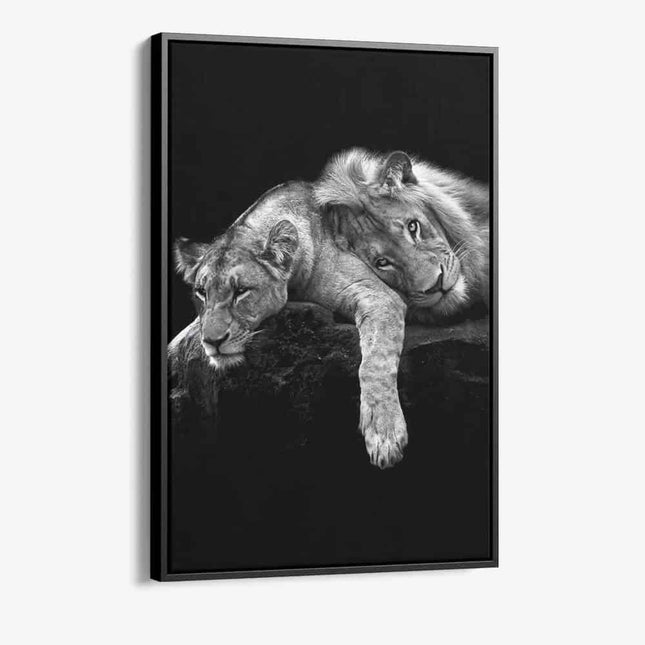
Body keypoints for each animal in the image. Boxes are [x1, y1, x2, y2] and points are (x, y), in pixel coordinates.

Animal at [171, 182, 408, 469]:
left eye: (241, 291)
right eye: (201, 292)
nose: (213, 342)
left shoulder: (378, 295)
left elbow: (375, 362)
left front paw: (384, 434)